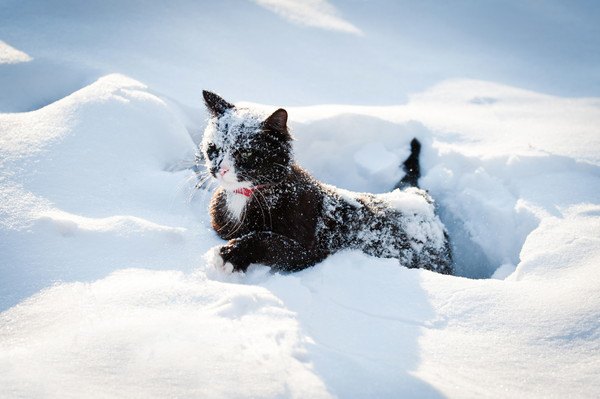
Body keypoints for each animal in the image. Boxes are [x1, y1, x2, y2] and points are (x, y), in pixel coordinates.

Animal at [199, 91, 452, 276]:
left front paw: (231, 255)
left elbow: (267, 239)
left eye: (246, 153)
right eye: (213, 148)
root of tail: (417, 195)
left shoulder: (311, 252)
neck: (245, 196)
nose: (219, 168)